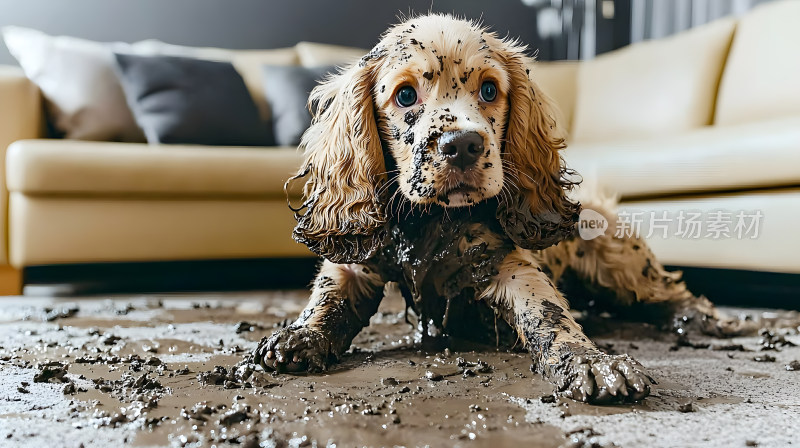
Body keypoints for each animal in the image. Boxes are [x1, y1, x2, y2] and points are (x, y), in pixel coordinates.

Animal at [253, 15, 748, 404]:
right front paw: (300, 334)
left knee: (666, 291)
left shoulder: (510, 264)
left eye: (490, 90)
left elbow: (549, 316)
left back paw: (702, 320)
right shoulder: (357, 258)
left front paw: (591, 361)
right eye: (406, 96)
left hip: (621, 262)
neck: (433, 221)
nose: (463, 145)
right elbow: (327, 299)